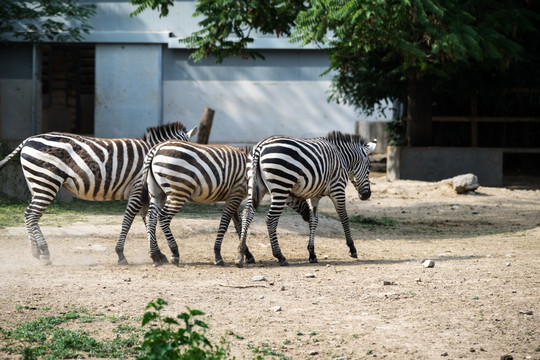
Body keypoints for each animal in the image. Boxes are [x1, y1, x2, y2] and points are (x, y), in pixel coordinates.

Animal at [0, 122, 197, 266]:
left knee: (29, 215)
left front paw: (157, 255)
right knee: (32, 215)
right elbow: (129, 220)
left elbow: (148, 221)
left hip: (37, 183)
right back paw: (44, 252)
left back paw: (36, 252)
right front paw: (121, 254)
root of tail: (28, 140)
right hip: (47, 181)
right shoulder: (137, 188)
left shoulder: (145, 196)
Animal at [138, 141, 308, 268]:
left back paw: (156, 255)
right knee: (163, 217)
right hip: (178, 191)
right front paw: (218, 255)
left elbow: (238, 225)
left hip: (157, 192)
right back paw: (174, 253)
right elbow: (225, 223)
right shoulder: (236, 194)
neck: (250, 171)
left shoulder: (234, 196)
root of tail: (156, 148)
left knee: (150, 217)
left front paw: (246, 255)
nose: (308, 216)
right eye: (299, 195)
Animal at [236, 132, 376, 268]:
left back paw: (240, 254)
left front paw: (312, 253)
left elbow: (314, 220)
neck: (342, 157)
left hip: (255, 185)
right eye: (369, 167)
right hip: (281, 186)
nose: (367, 195)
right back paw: (280, 256)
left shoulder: (314, 195)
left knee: (247, 213)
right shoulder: (338, 188)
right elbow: (344, 217)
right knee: (271, 219)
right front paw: (352, 248)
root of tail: (260, 146)